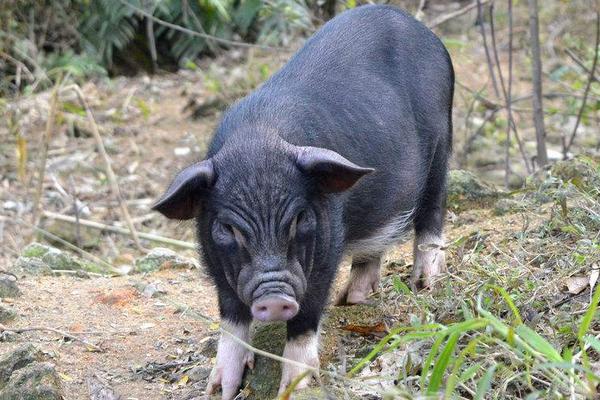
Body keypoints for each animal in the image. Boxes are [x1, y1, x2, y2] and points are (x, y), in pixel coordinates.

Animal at [152, 4, 452, 398]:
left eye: (298, 218)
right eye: (228, 228)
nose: (274, 296)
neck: (260, 137)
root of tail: (423, 30)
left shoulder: (327, 245)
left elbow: (307, 314)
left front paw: (293, 386)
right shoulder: (214, 260)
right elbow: (231, 316)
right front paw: (220, 389)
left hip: (442, 144)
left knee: (432, 211)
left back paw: (423, 283)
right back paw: (352, 298)